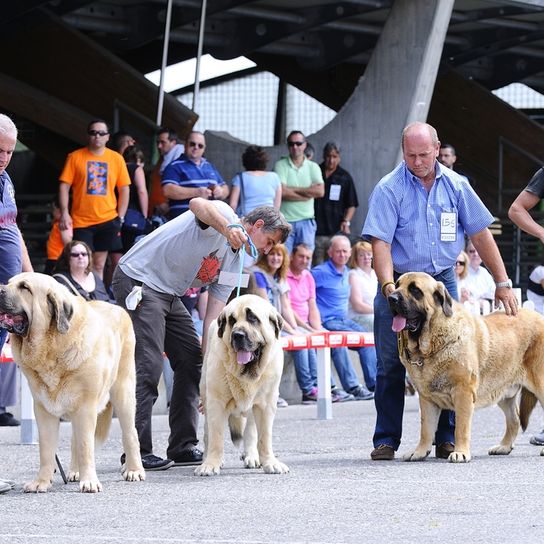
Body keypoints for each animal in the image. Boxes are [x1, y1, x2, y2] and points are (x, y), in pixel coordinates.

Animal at [0, 274, 146, 490]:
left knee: (130, 433)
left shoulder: (86, 407)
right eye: (9, 282)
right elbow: (47, 449)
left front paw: (89, 482)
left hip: (123, 392)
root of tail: (117, 308)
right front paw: (41, 482)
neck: (52, 347)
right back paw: (75, 471)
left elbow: (86, 446)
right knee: (75, 440)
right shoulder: (43, 410)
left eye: (25, 287)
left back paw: (134, 469)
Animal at [194, 294, 288, 476]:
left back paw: (251, 456)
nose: (237, 335)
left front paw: (270, 462)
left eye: (253, 318)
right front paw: (211, 464)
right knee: (208, 434)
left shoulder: (266, 405)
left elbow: (264, 437)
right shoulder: (216, 403)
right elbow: (216, 437)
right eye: (231, 320)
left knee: (250, 431)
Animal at [386, 272, 544, 464]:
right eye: (397, 285)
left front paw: (460, 452)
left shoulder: (464, 393)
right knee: (514, 420)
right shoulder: (427, 399)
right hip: (502, 391)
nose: (391, 297)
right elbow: (426, 429)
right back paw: (504, 447)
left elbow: (460, 428)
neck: (433, 343)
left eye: (415, 290)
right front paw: (419, 452)